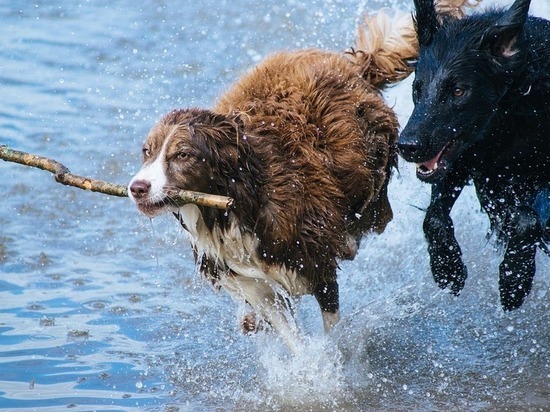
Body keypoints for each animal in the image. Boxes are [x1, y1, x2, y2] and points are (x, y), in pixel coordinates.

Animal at [129, 2, 478, 350]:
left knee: (373, 208)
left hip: (371, 161)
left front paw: (332, 358)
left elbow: (330, 325)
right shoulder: (252, 280)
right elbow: (288, 333)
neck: (236, 202)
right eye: (147, 151)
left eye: (182, 155)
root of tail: (352, 64)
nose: (137, 187)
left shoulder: (315, 263)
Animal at [402, 0, 550, 310]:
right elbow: (433, 218)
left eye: (459, 90)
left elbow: (526, 219)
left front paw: (514, 280)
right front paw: (448, 269)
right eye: (417, 88)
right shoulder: (461, 161)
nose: (407, 146)